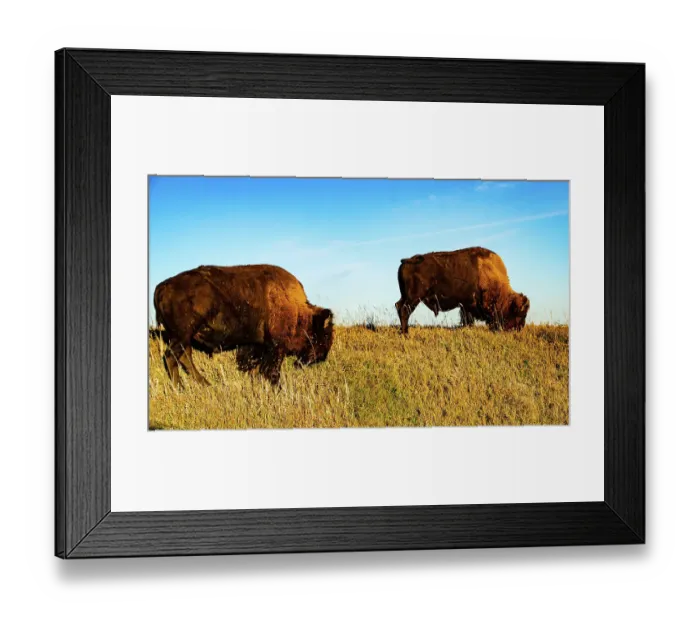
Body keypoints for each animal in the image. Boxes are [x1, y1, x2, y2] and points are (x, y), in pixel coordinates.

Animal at [154, 264, 334, 387]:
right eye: (325, 335)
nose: (322, 357)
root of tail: (162, 286)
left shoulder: (255, 345)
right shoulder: (276, 347)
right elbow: (272, 370)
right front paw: (277, 388)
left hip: (183, 337)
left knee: (185, 356)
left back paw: (205, 384)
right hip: (182, 335)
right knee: (171, 356)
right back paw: (180, 388)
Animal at [395, 247, 530, 335]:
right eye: (520, 314)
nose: (519, 329)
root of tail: (407, 261)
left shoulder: (465, 305)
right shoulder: (468, 305)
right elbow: (467, 320)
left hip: (406, 296)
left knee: (398, 306)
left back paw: (402, 331)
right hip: (414, 298)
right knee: (404, 311)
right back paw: (406, 333)